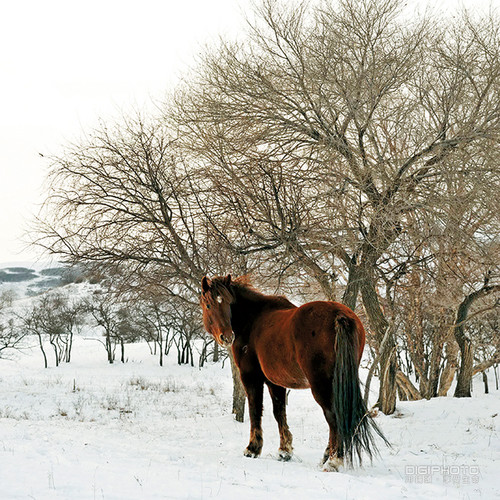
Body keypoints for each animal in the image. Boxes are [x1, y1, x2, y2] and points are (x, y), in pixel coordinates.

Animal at [199, 274, 386, 468]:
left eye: (228, 302)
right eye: (209, 305)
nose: (227, 337)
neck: (252, 320)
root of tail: (340, 315)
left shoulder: (251, 377)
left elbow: (255, 410)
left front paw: (252, 449)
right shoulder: (275, 382)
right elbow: (279, 412)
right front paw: (284, 451)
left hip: (322, 386)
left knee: (334, 417)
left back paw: (333, 461)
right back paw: (327, 456)